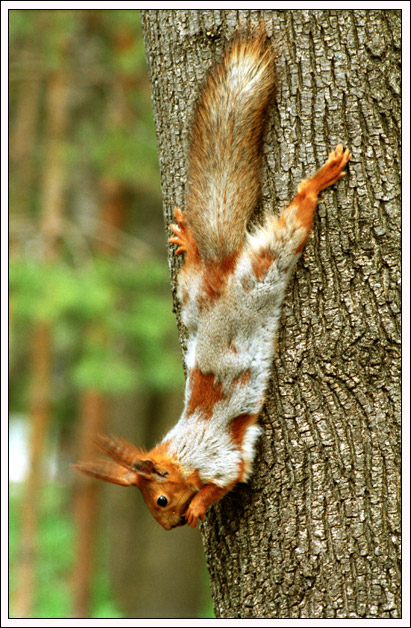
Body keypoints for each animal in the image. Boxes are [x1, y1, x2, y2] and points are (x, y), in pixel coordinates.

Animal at [73, 30, 350, 528]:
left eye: (161, 500)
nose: (172, 526)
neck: (185, 448)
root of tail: (222, 275)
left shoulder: (222, 455)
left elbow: (227, 480)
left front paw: (201, 505)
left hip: (266, 266)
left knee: (291, 223)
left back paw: (317, 182)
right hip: (192, 291)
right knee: (197, 264)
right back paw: (189, 241)